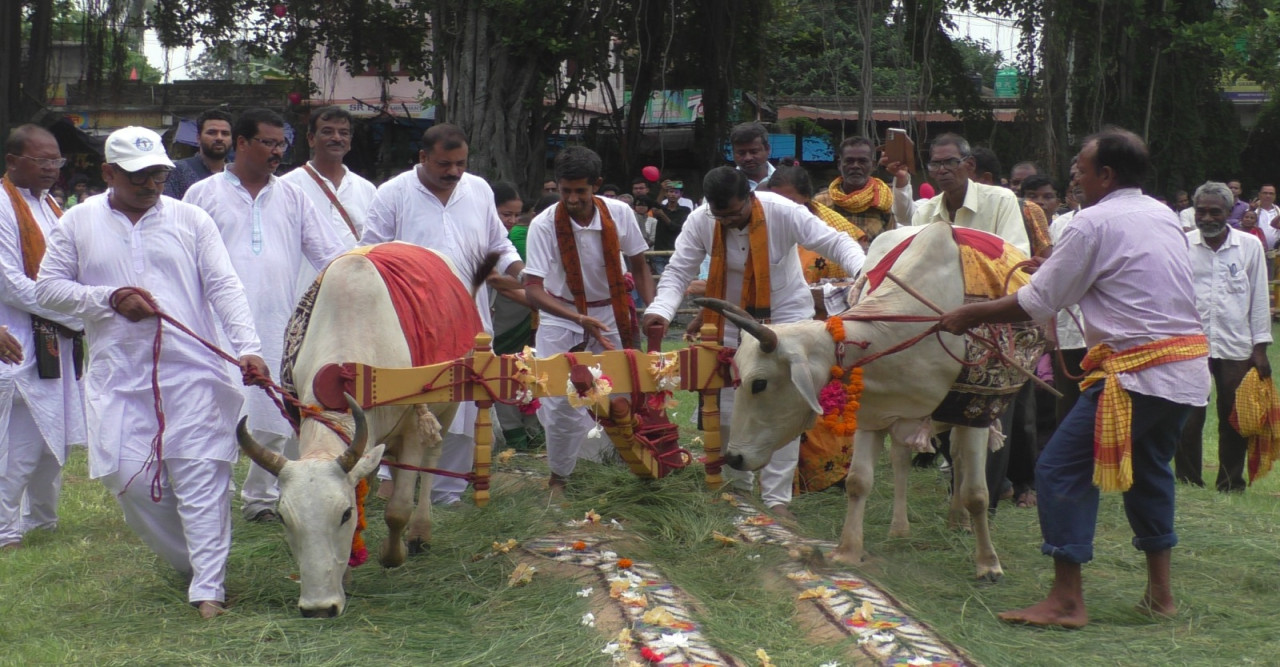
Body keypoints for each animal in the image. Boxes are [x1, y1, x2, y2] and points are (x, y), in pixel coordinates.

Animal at [235, 240, 483, 614]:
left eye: (344, 514)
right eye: (283, 518)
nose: (319, 609)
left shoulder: (412, 427)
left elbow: (397, 510)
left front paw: (391, 554)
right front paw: (347, 575)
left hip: (449, 404)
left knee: (432, 459)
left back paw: (420, 532)